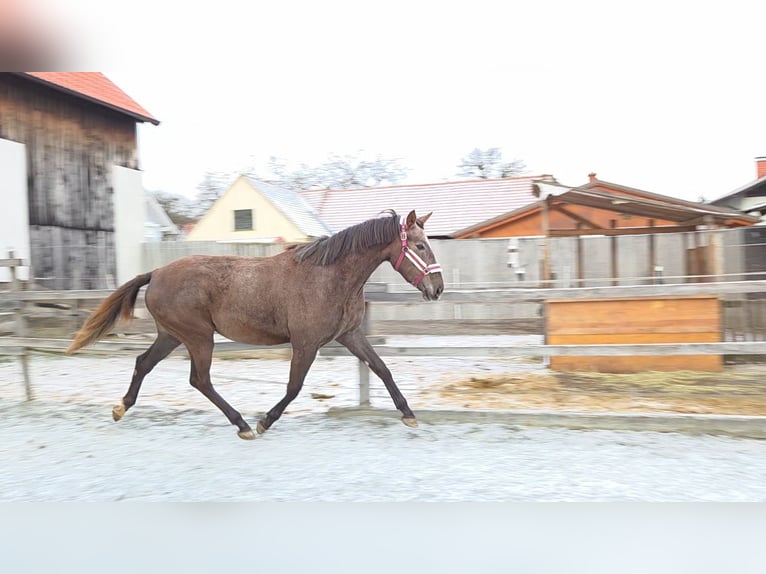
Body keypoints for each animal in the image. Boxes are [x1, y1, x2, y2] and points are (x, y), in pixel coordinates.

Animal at [66, 210, 444, 439]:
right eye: (420, 245)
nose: (437, 289)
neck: (328, 277)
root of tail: (156, 272)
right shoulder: (305, 343)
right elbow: (294, 387)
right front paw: (265, 421)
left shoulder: (349, 335)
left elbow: (382, 369)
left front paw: (408, 414)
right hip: (198, 336)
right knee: (200, 380)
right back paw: (244, 424)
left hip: (172, 335)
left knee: (144, 363)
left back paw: (120, 408)